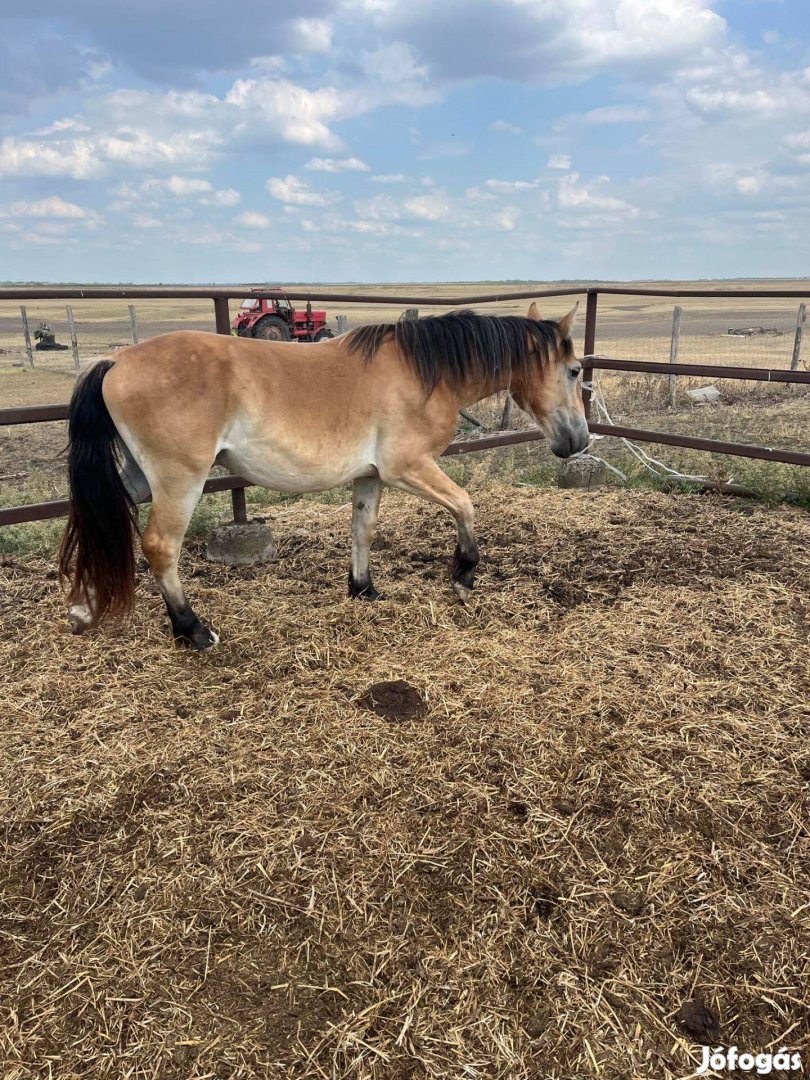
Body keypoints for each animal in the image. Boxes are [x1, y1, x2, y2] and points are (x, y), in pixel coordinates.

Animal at [58, 300, 591, 643]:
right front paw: (463, 573)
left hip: (141, 478)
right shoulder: (408, 467)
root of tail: (117, 360)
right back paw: (192, 628)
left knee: (93, 518)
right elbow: (465, 505)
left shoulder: (371, 475)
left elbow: (363, 529)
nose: (579, 441)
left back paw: (83, 609)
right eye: (575, 370)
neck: (423, 373)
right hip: (178, 480)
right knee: (160, 547)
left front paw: (363, 588)